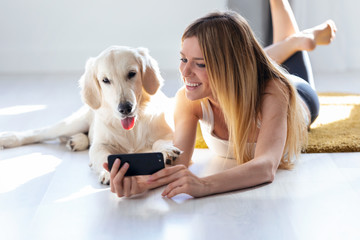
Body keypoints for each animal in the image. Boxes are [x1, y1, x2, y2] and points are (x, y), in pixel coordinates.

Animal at [0, 45, 180, 184]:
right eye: (105, 80)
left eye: (131, 73)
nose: (125, 108)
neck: (131, 129)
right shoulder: (99, 146)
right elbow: (105, 156)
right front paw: (109, 173)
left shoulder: (169, 130)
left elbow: (161, 141)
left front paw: (167, 150)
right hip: (73, 123)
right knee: (39, 132)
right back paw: (8, 138)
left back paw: (76, 141)